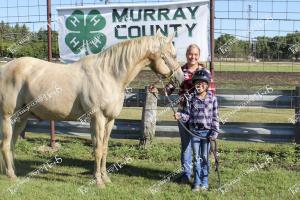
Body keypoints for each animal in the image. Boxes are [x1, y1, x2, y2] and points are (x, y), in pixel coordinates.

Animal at [0, 30, 184, 188]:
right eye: (173, 55)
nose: (181, 78)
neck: (109, 75)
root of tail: (5, 68)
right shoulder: (97, 118)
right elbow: (97, 149)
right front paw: (98, 182)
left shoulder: (109, 120)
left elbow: (105, 148)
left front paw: (105, 178)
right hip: (8, 117)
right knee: (5, 144)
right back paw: (11, 175)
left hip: (21, 117)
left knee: (12, 144)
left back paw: (11, 171)